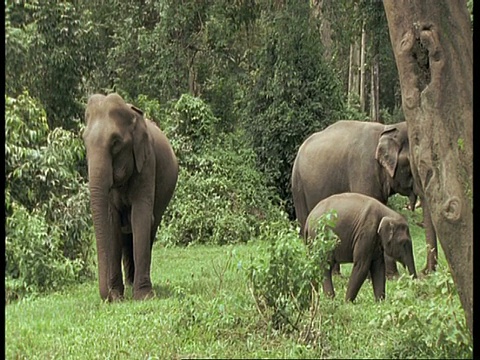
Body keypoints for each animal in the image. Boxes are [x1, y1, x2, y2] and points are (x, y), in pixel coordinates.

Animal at [83, 93, 179, 300]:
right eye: (84, 141)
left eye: (116, 142)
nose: (108, 297)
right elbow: (112, 222)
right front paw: (118, 297)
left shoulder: (148, 162)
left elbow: (141, 216)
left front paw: (143, 296)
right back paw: (128, 283)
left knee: (149, 226)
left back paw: (134, 283)